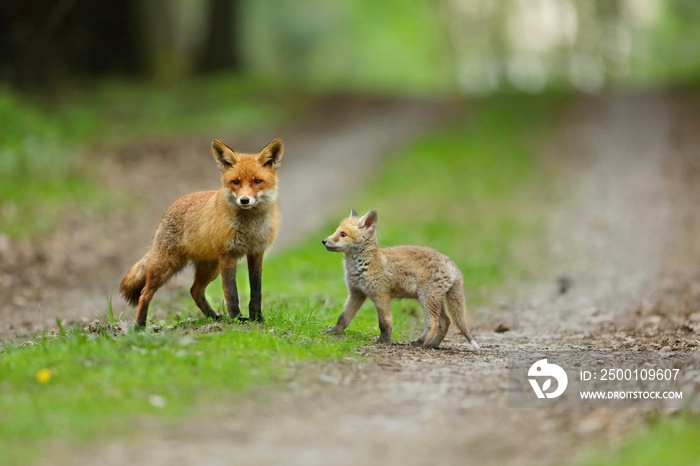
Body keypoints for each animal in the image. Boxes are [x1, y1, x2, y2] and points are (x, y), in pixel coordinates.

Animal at [121, 138, 284, 328]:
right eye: (235, 182)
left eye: (257, 181)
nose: (244, 200)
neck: (250, 227)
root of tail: (167, 211)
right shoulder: (228, 255)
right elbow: (231, 292)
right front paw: (236, 318)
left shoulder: (256, 253)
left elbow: (256, 291)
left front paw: (257, 318)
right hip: (165, 268)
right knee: (145, 293)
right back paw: (139, 325)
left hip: (210, 269)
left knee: (195, 291)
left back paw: (213, 317)